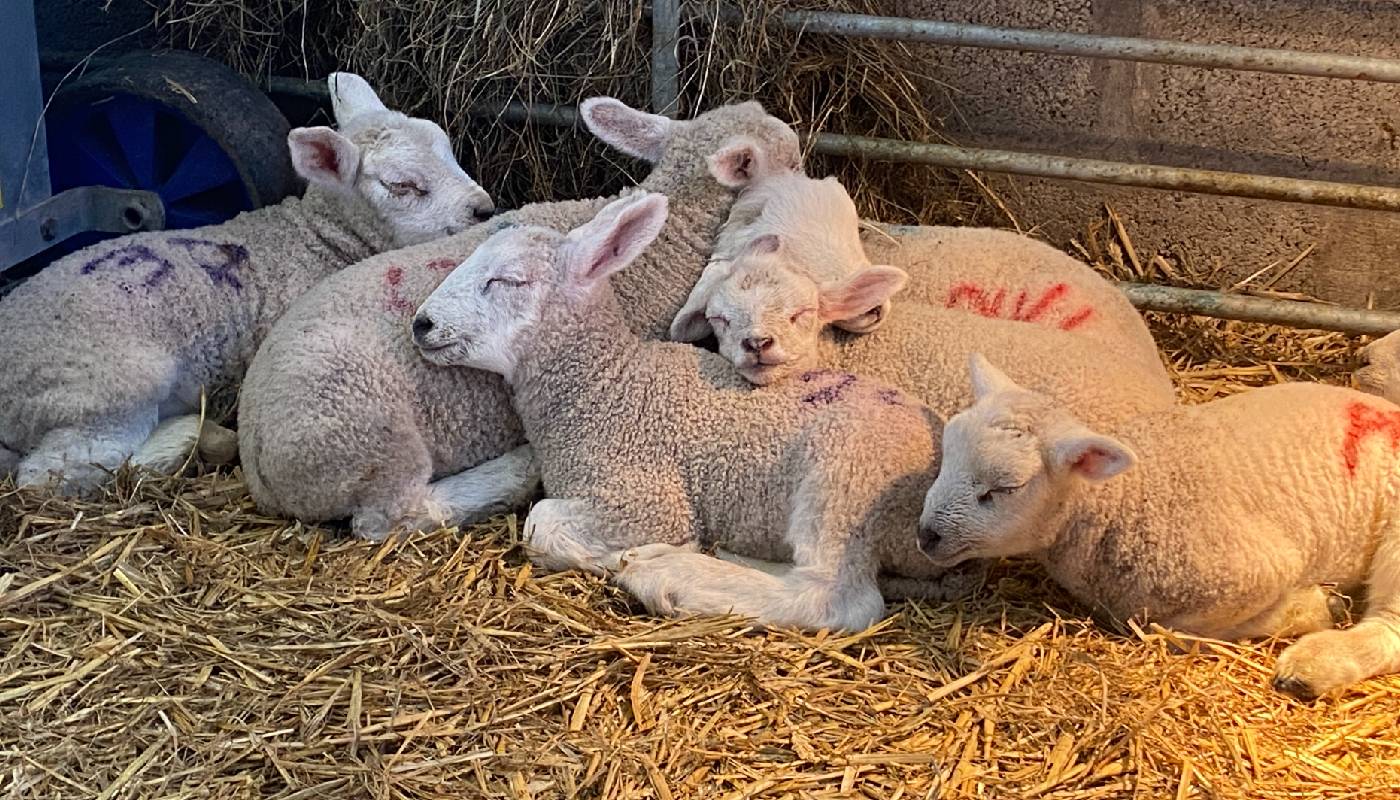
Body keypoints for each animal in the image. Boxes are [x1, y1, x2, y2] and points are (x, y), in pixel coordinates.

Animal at [0, 72, 494, 494]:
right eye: (403, 185)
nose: (484, 209)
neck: (318, 240)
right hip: (107, 392)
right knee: (53, 475)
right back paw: (195, 434)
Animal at [236, 97, 804, 541]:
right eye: (795, 161)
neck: (666, 238)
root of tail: (254, 453)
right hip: (368, 434)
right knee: (390, 517)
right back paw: (511, 474)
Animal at [415, 191, 954, 631]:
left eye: (509, 280)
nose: (422, 323)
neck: (604, 382)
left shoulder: (645, 496)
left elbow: (540, 524)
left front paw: (649, 553)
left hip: (845, 480)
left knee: (837, 597)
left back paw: (671, 575)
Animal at [919, 353, 1400, 700]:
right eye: (946, 455)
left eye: (1005, 488)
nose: (926, 535)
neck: (1124, 498)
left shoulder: (1256, 571)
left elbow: (1176, 631)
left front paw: (1311, 608)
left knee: (1390, 625)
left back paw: (1313, 665)